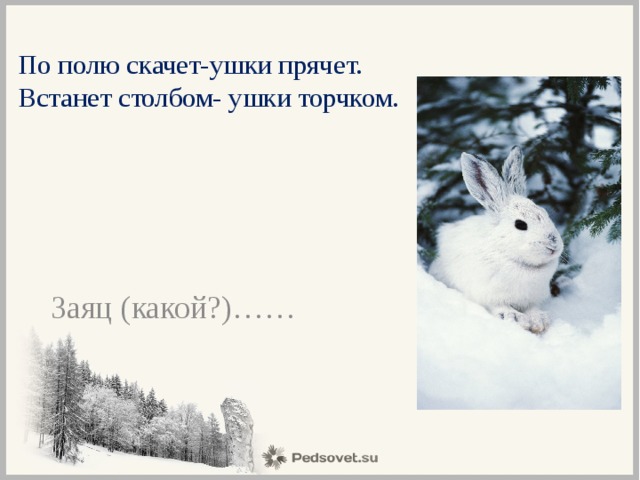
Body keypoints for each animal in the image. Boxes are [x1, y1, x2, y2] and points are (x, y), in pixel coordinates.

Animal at [429, 146, 563, 334]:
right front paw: (516, 318)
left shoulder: (531, 298)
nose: (553, 245)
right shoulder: (487, 294)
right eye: (520, 225)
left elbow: (532, 308)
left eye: (545, 213)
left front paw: (539, 321)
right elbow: (499, 306)